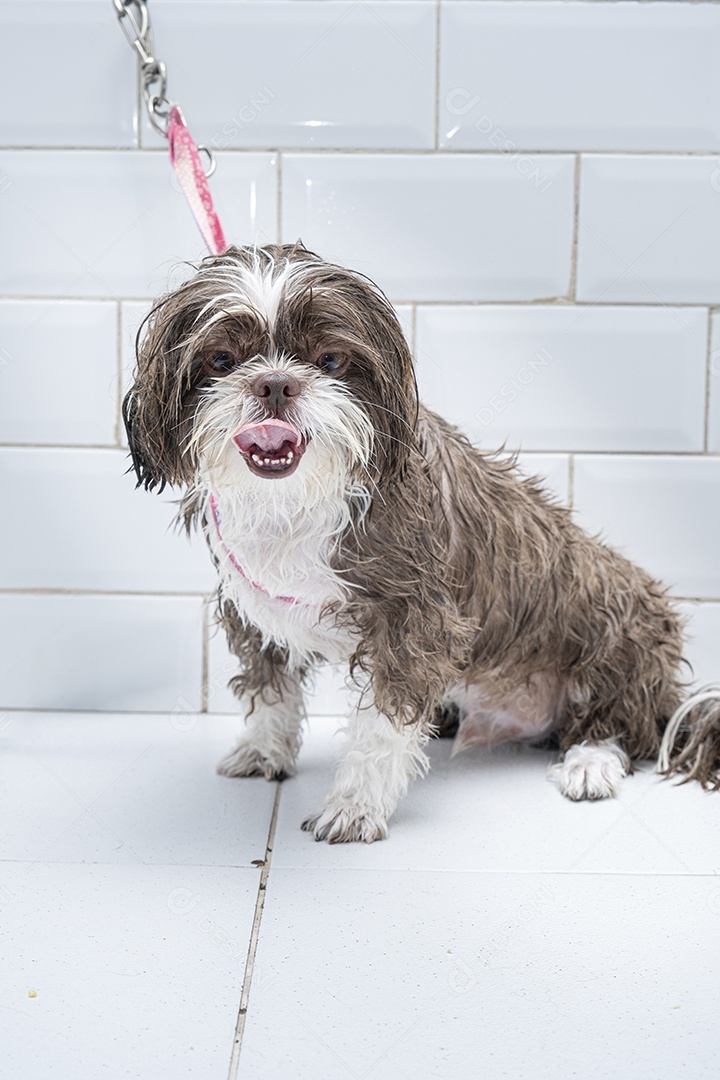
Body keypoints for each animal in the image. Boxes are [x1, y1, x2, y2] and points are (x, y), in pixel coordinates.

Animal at [124, 243, 720, 842]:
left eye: (330, 360)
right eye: (222, 360)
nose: (274, 383)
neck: (297, 504)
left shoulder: (413, 620)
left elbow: (383, 722)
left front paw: (355, 805)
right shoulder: (255, 610)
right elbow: (270, 690)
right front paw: (264, 750)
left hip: (618, 619)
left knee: (620, 724)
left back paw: (591, 761)